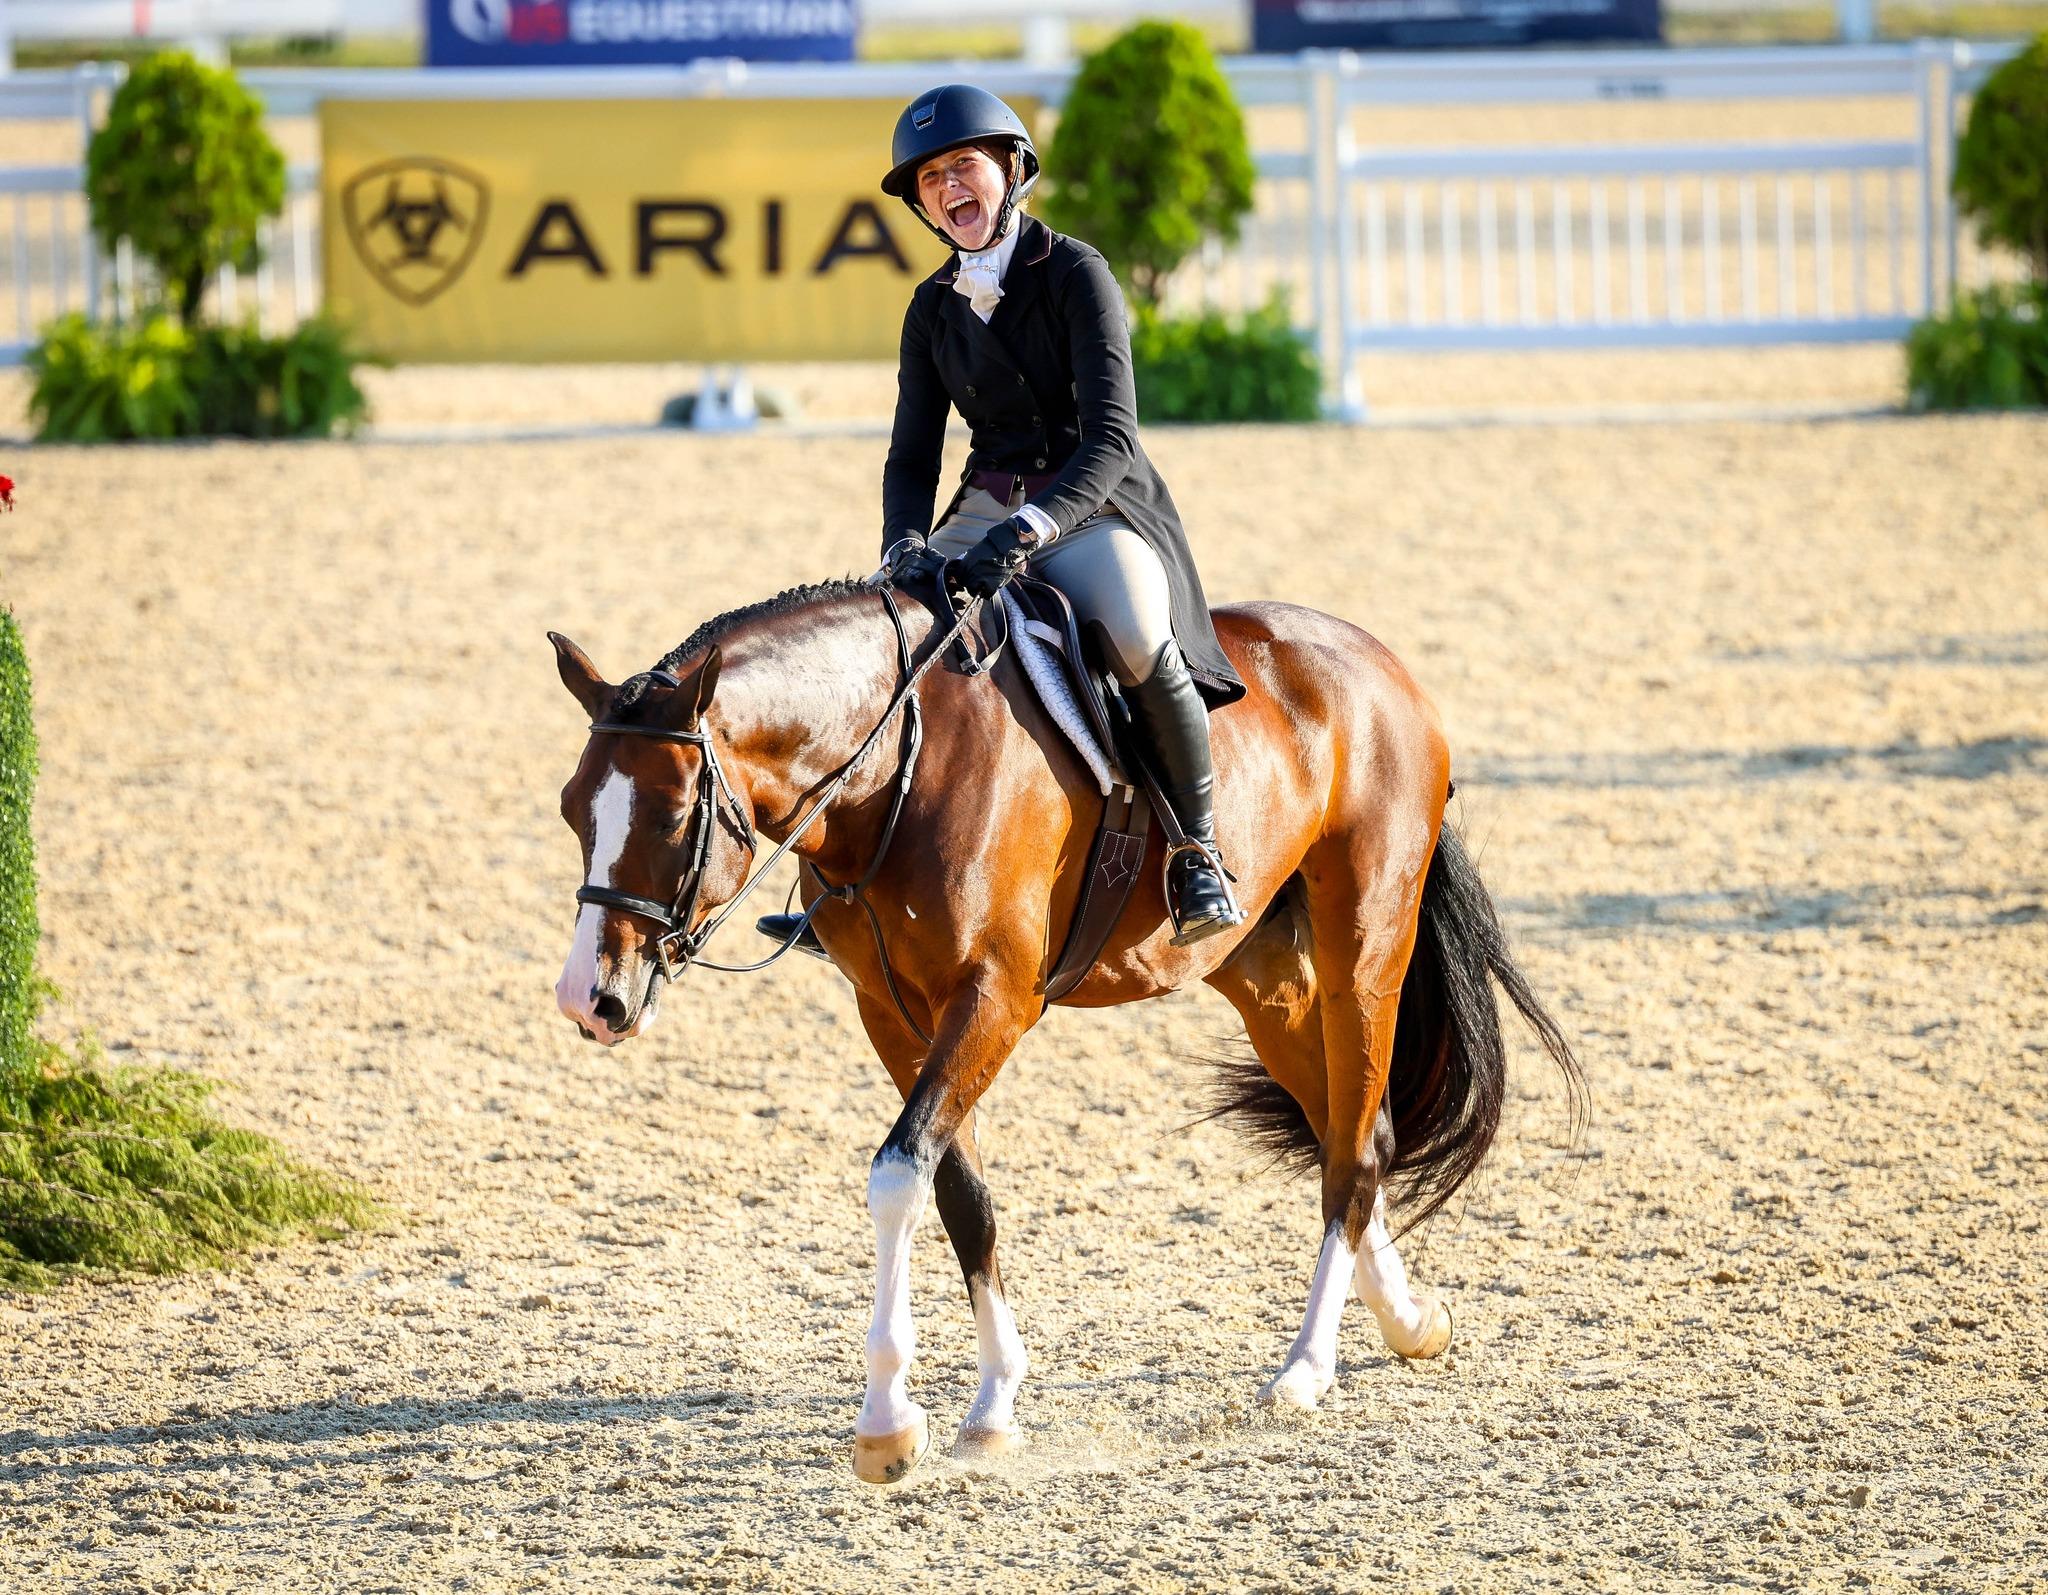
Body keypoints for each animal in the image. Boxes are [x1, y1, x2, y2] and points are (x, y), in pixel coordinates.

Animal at [549, 575, 1579, 1485]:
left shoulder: (996, 997)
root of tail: (1378, 660)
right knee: (1352, 1130)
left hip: (1363, 940)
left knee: (1357, 1148)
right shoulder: (890, 1009)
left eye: (673, 815)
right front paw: (993, 1405)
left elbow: (898, 1175)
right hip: (1263, 976)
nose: (587, 999)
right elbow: (958, 1191)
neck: (899, 770)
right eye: (570, 808)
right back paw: (1409, 1319)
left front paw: (887, 1425)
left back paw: (1304, 1370)